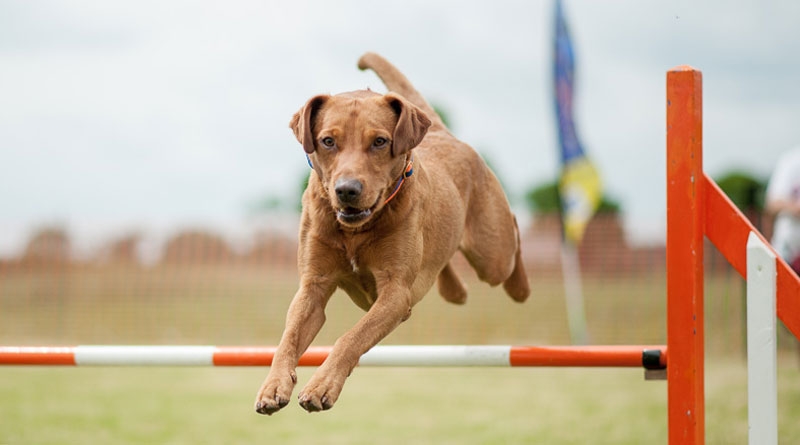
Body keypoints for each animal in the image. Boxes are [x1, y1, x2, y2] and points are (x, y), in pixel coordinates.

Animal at [256, 54, 528, 412]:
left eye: (379, 141)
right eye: (328, 141)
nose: (347, 190)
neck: (355, 230)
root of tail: (444, 134)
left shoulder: (396, 293)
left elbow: (352, 336)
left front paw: (321, 386)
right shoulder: (313, 285)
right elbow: (287, 339)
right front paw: (273, 386)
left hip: (491, 254)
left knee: (513, 234)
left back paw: (520, 287)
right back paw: (456, 289)